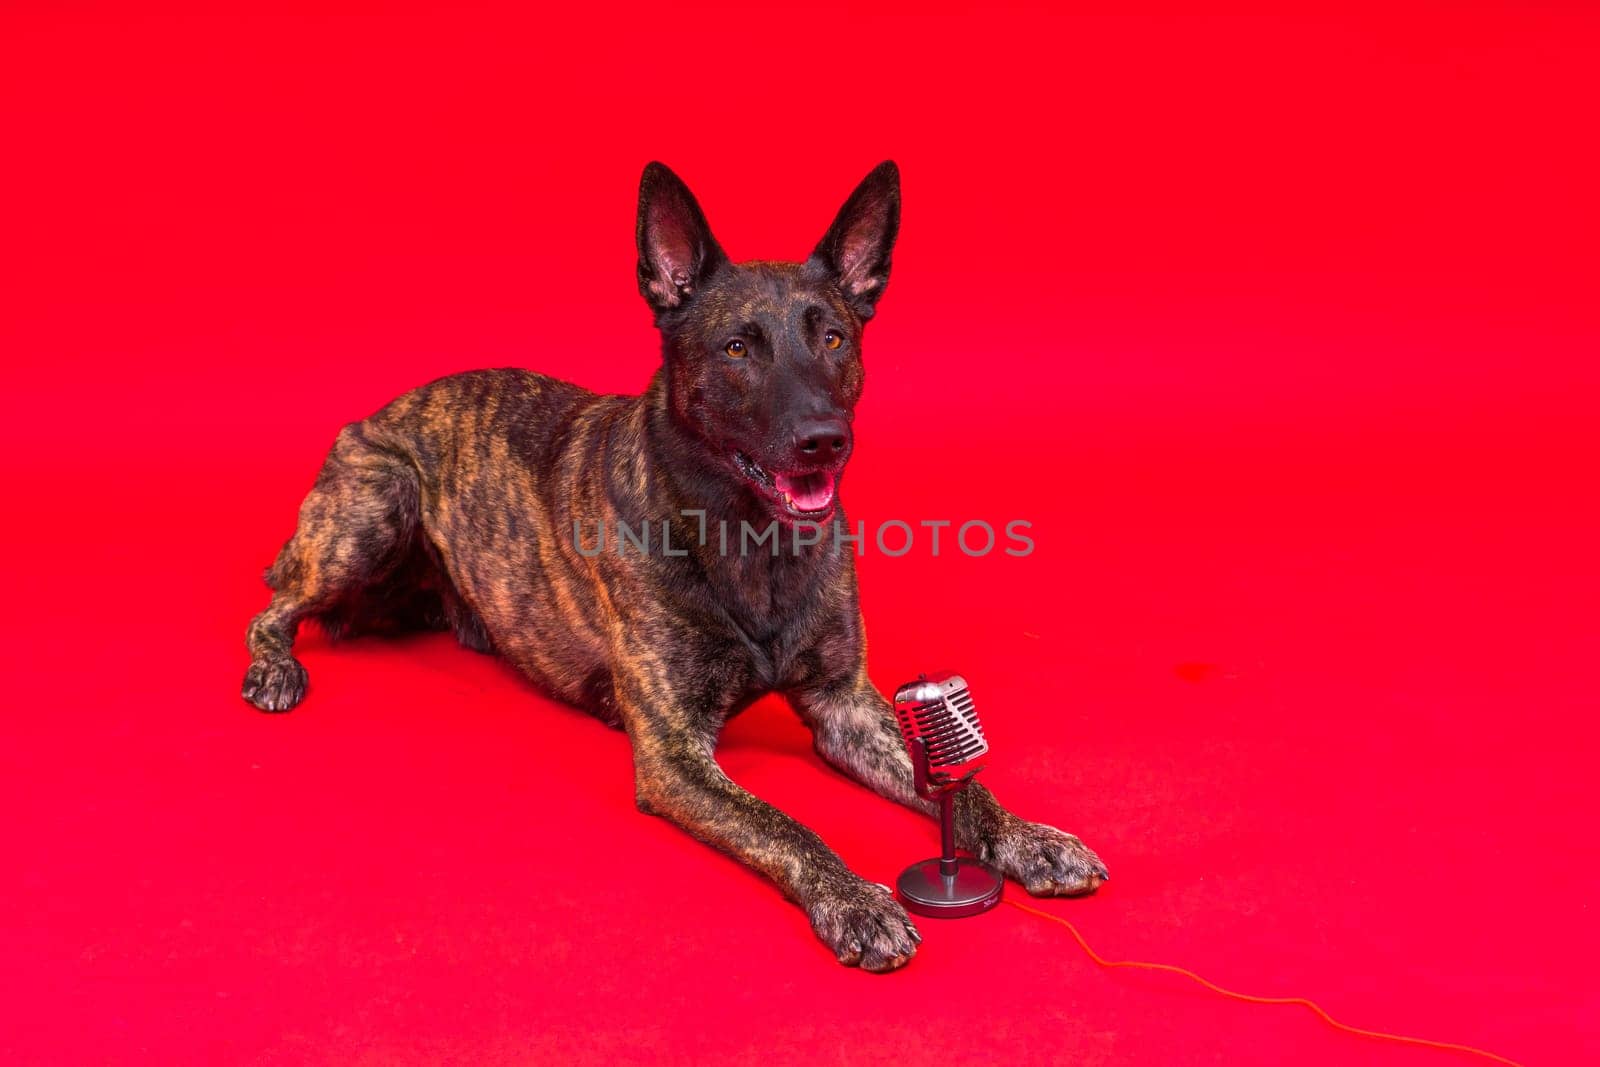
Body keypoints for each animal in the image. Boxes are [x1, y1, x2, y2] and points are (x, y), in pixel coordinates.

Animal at [243, 163, 1107, 972]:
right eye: (736, 349)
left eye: (833, 338)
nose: (825, 439)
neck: (750, 541)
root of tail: (378, 411)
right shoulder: (674, 755)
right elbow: (781, 822)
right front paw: (855, 898)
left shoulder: (848, 706)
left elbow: (966, 788)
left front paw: (1029, 836)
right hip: (375, 505)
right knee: (275, 607)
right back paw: (277, 668)